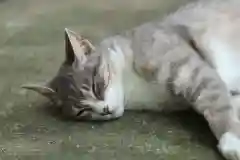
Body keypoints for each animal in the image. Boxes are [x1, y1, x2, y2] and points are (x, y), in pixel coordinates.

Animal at [21, 0, 240, 159]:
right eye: (82, 111)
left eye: (96, 86)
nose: (104, 110)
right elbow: (228, 101)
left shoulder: (194, 73)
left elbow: (217, 105)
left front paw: (231, 139)